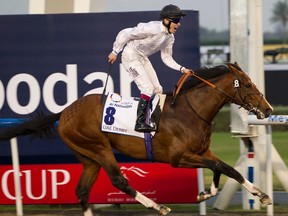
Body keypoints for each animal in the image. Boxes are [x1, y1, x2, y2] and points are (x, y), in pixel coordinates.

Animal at [1, 61, 274, 215]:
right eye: (247, 85)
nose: (268, 109)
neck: (190, 111)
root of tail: (65, 111)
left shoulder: (202, 151)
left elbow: (226, 168)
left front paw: (250, 194)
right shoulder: (178, 157)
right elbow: (221, 166)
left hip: (87, 157)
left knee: (82, 191)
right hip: (98, 148)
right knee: (118, 180)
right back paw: (158, 206)